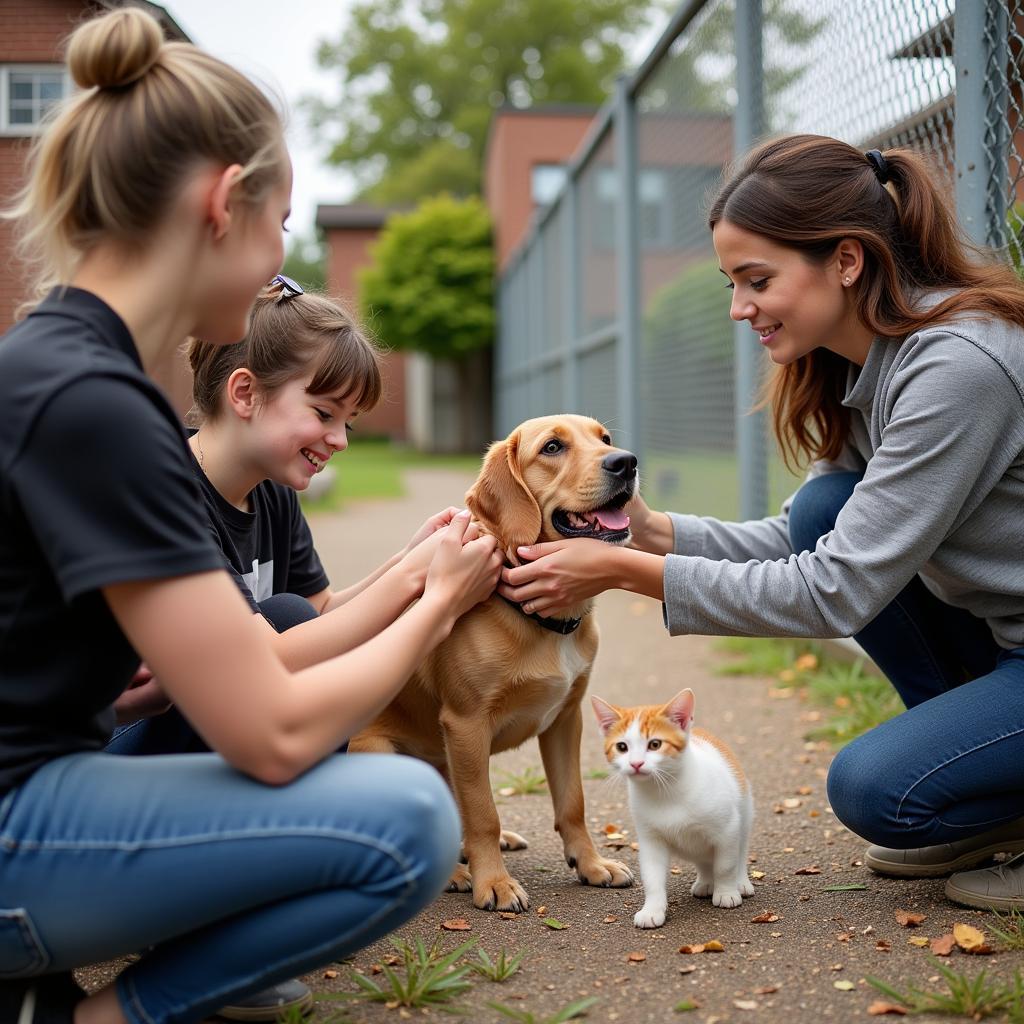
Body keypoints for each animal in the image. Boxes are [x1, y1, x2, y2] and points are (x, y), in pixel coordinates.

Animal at [352, 415, 638, 913]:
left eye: (605, 439)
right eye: (552, 447)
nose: (626, 462)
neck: (545, 622)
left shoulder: (566, 720)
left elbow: (572, 803)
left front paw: (590, 864)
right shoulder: (466, 725)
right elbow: (483, 813)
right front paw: (495, 883)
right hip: (389, 754)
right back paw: (458, 871)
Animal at [593, 688, 753, 929]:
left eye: (655, 744)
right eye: (622, 747)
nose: (636, 764)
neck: (664, 792)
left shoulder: (727, 830)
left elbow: (725, 865)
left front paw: (726, 892)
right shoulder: (651, 840)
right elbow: (652, 878)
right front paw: (652, 909)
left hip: (744, 814)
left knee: (739, 853)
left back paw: (740, 882)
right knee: (703, 858)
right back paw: (706, 882)